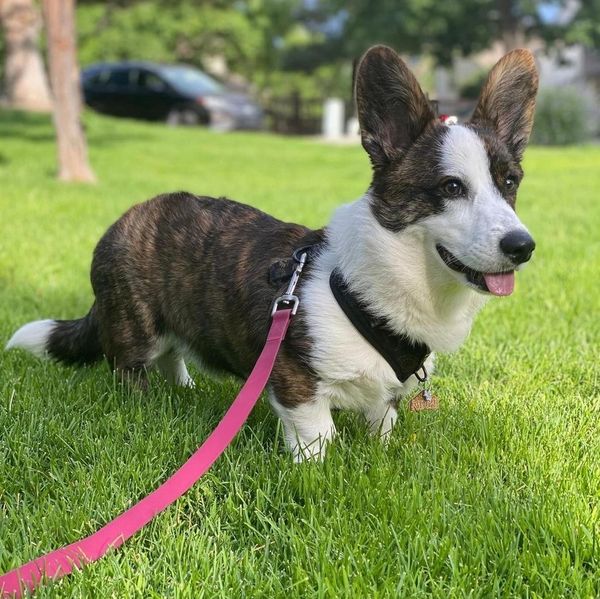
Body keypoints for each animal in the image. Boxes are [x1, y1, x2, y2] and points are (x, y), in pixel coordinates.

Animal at [4, 47, 540, 462]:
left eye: (510, 182)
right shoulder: (296, 381)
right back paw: (146, 403)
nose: (523, 247)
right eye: (451, 187)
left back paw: (183, 391)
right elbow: (318, 435)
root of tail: (124, 218)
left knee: (174, 355)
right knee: (133, 367)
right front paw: (318, 474)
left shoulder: (382, 396)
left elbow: (380, 425)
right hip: (135, 331)